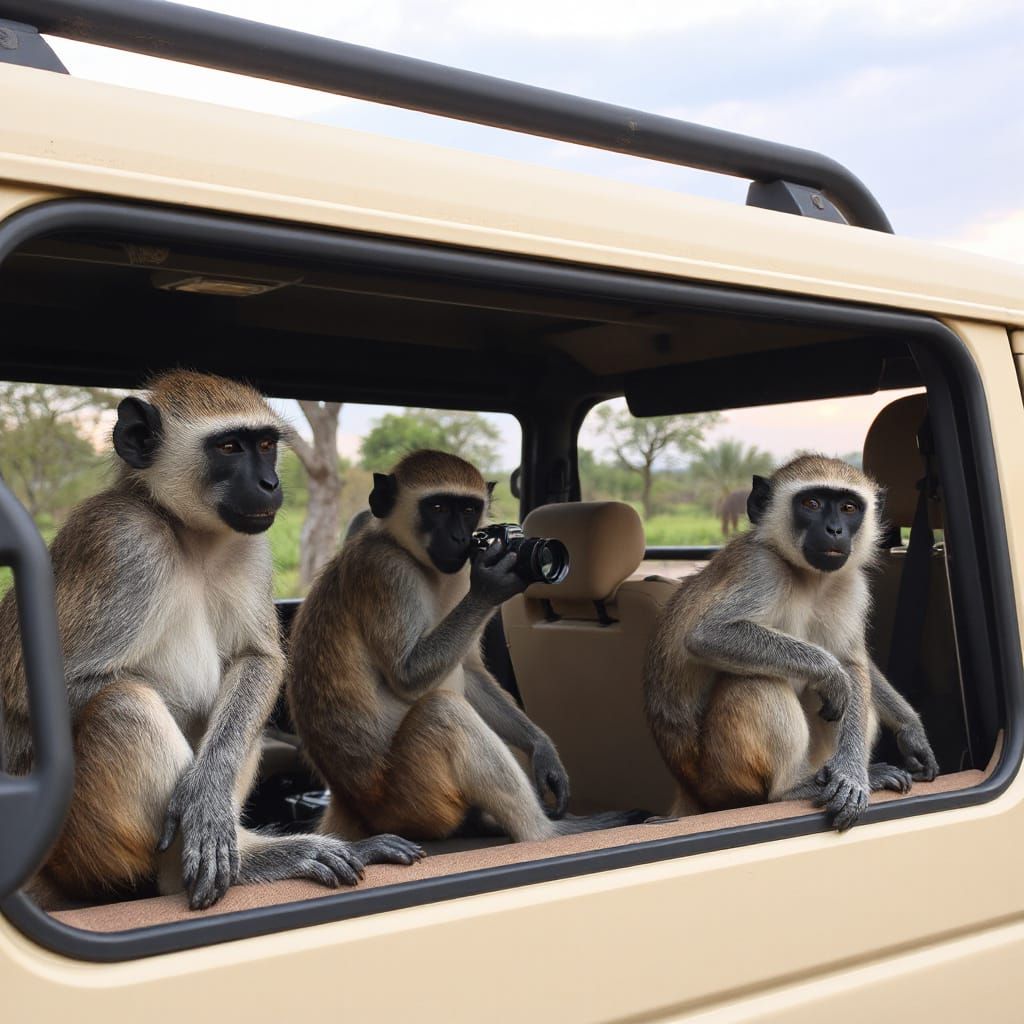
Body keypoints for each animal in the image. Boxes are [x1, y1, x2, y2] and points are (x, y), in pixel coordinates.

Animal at [0, 370, 422, 911]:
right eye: (228, 447)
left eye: (265, 445)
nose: (270, 484)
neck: (188, 535)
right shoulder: (125, 544)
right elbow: (27, 697)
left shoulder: (251, 547)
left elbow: (256, 659)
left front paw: (207, 790)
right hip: (84, 845)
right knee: (125, 702)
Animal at [287, 449, 643, 843]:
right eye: (439, 507)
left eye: (469, 509)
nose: (460, 536)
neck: (411, 555)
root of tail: (354, 805)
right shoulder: (388, 572)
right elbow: (408, 676)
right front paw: (491, 584)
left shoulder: (458, 575)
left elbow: (470, 671)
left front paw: (542, 748)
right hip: (416, 799)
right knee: (444, 712)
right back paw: (546, 831)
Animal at [644, 454, 939, 831]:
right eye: (811, 503)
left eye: (848, 507)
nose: (834, 530)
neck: (809, 578)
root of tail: (692, 791)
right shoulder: (762, 569)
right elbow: (708, 634)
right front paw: (829, 672)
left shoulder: (851, 583)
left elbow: (854, 662)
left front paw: (903, 734)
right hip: (724, 777)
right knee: (758, 681)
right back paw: (791, 787)